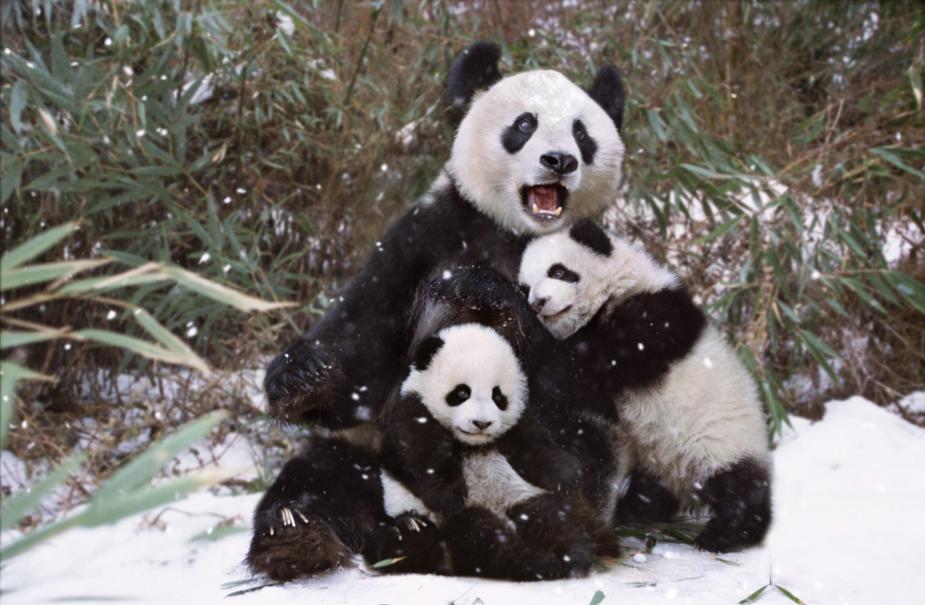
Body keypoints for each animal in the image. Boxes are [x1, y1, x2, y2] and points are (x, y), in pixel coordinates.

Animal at [364, 322, 616, 580]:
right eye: (462, 392)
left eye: (498, 396)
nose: (482, 423)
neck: (472, 444)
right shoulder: (412, 412)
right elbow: (424, 454)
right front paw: (448, 496)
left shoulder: (518, 422)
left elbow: (536, 443)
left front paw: (568, 474)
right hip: (458, 521)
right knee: (479, 537)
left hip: (523, 495)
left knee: (552, 519)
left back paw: (571, 555)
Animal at [517, 219, 773, 553]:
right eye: (526, 288)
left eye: (558, 272)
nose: (538, 303)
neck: (616, 290)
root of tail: (684, 479)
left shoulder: (655, 316)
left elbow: (613, 357)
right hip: (658, 460)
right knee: (652, 490)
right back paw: (636, 511)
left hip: (724, 438)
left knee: (739, 486)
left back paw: (726, 533)